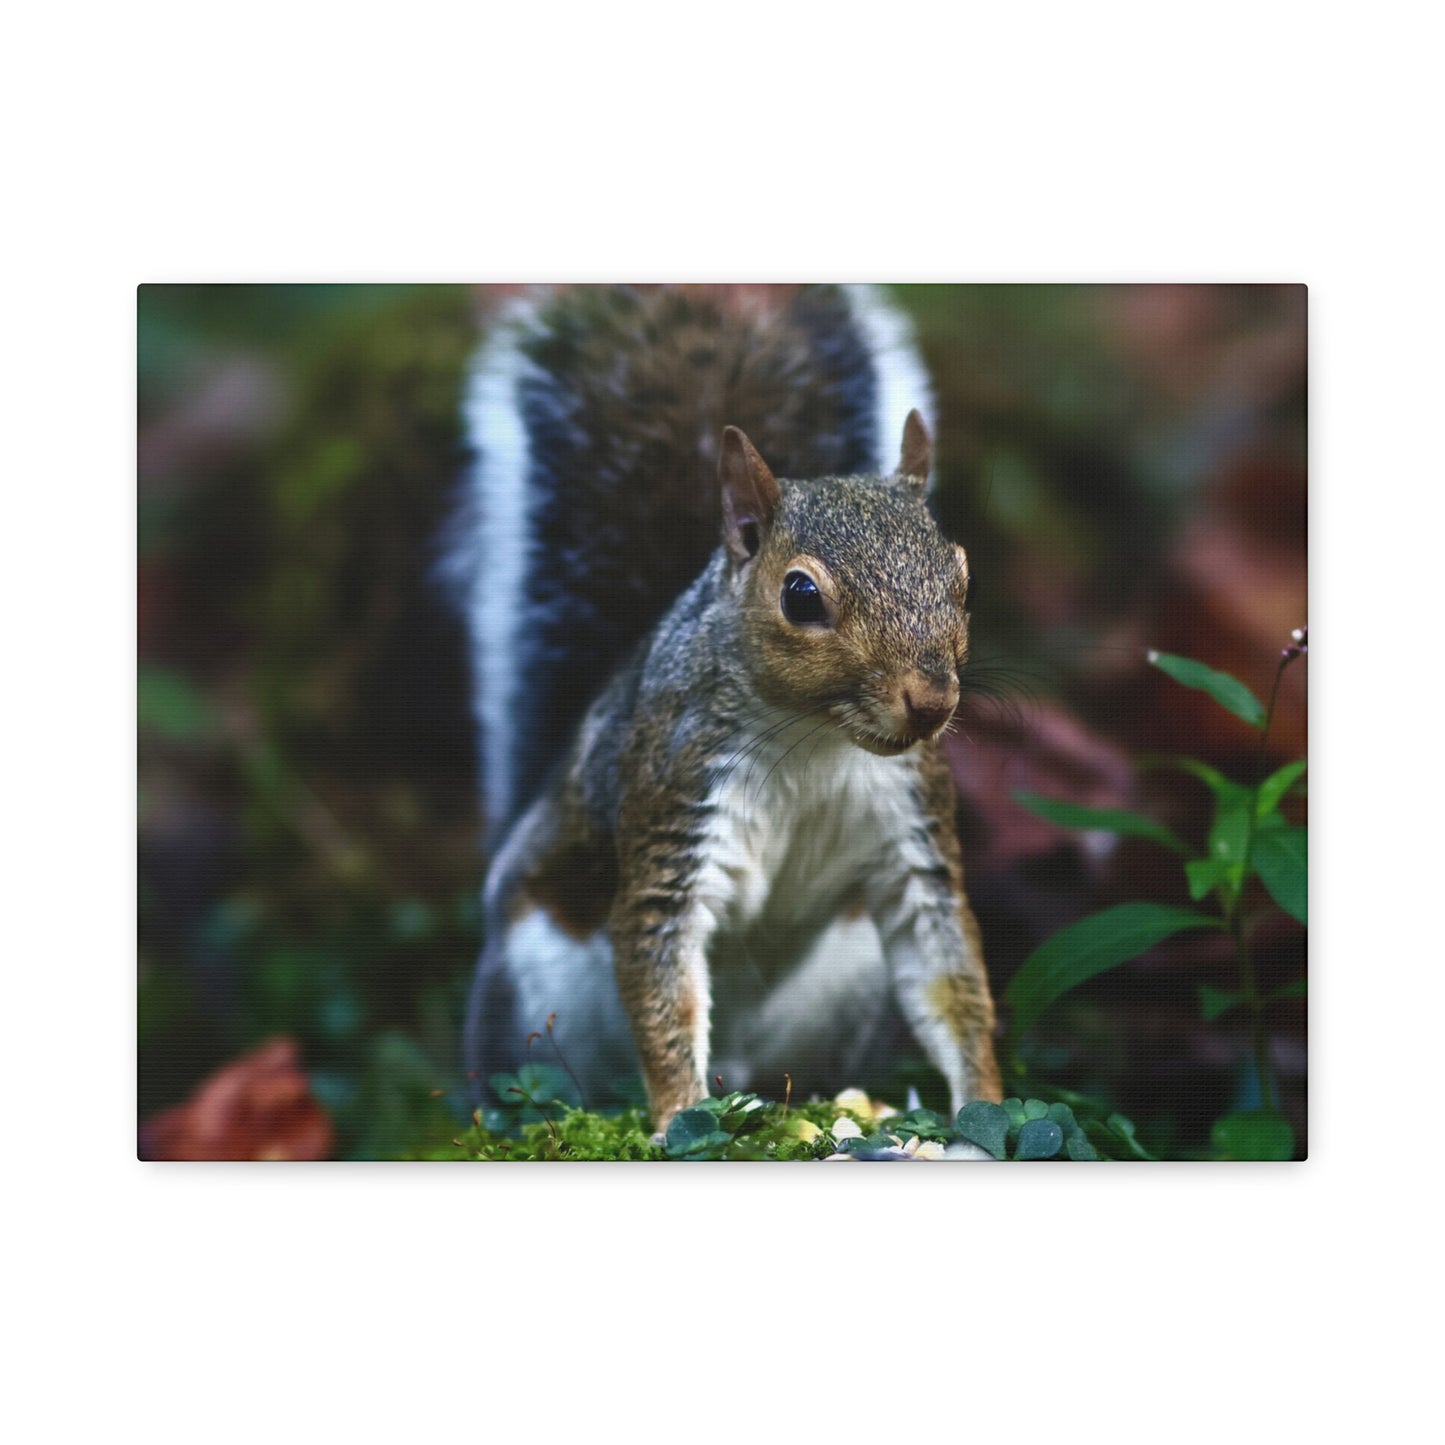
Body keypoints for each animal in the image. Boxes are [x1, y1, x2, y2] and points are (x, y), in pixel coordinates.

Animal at [446, 284, 1002, 1135]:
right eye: (800, 594)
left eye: (962, 577)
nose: (931, 700)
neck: (815, 741)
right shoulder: (674, 804)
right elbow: (663, 986)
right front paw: (679, 1113)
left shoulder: (913, 832)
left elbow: (950, 980)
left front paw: (988, 1106)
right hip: (533, 983)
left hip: (846, 986)